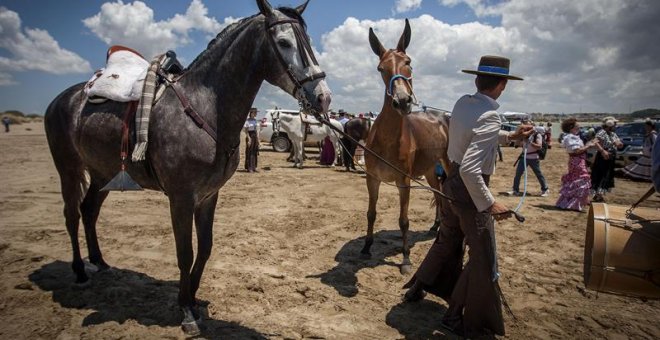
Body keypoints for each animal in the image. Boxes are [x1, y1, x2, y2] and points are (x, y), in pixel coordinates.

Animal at [42, 0, 330, 334]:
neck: (205, 107)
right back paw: (79, 271)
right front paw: (186, 311)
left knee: (89, 211)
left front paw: (192, 299)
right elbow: (185, 251)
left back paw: (100, 262)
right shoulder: (181, 198)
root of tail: (61, 99)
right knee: (72, 215)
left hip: (103, 174)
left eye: (308, 41)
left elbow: (204, 248)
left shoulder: (208, 196)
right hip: (68, 169)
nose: (323, 97)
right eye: (284, 43)